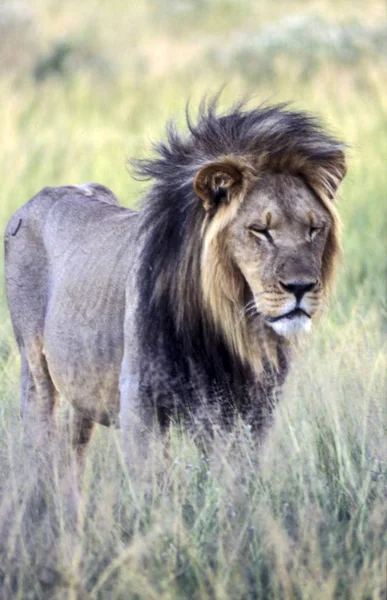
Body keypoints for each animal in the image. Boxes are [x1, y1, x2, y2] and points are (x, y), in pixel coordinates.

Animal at [4, 98, 348, 466]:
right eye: (260, 230)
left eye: (314, 229)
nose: (301, 287)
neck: (225, 326)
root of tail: (38, 197)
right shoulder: (140, 403)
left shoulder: (249, 412)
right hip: (36, 374)